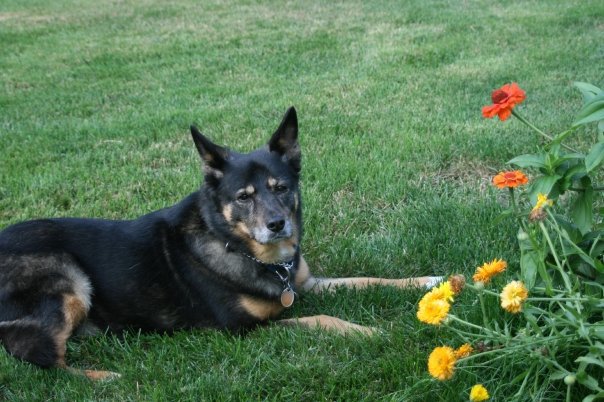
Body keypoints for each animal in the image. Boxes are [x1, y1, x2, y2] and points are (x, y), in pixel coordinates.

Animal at [0, 105, 438, 378]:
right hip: (67, 280)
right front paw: (370, 332)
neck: (239, 246)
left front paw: (429, 283)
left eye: (281, 187)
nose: (278, 225)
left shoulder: (306, 282)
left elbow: (367, 279)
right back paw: (104, 377)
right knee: (37, 356)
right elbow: (318, 318)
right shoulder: (240, 330)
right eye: (243, 197)